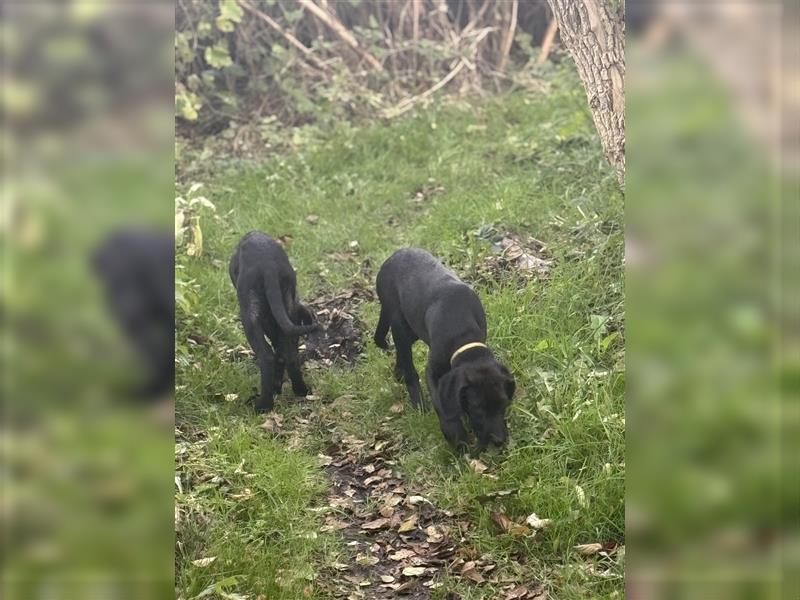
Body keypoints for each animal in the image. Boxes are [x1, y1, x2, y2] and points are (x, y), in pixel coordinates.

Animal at [228, 231, 318, 412]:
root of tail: (268, 266)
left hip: (249, 316)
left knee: (267, 356)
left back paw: (263, 406)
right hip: (286, 308)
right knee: (288, 355)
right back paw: (300, 391)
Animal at [374, 247, 516, 450]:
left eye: (503, 404)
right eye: (477, 409)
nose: (499, 441)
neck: (463, 333)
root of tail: (392, 256)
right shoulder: (433, 372)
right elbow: (442, 404)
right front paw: (456, 435)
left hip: (413, 326)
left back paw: (398, 371)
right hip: (398, 321)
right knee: (409, 367)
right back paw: (418, 403)